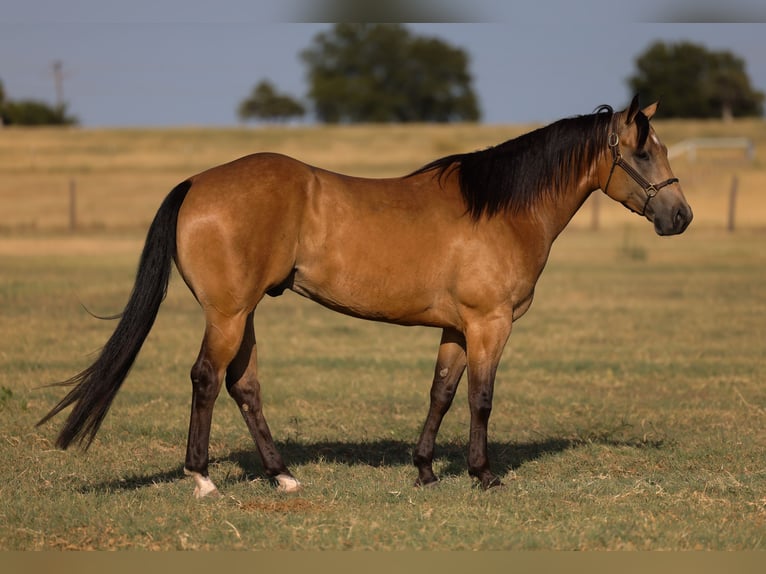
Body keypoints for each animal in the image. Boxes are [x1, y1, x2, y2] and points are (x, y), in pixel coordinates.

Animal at [38, 96, 692, 497]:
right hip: (227, 314)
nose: (680, 216)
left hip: (243, 314)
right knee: (206, 378)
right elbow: (480, 399)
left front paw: (425, 470)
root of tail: (197, 182)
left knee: (244, 386)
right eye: (642, 151)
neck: (501, 208)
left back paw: (283, 477)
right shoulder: (490, 324)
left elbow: (441, 394)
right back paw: (202, 479)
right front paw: (483, 474)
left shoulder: (456, 328)